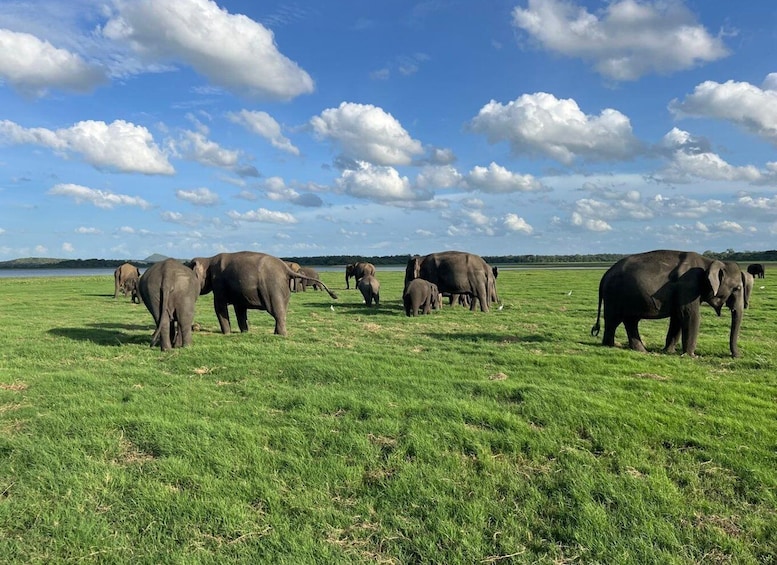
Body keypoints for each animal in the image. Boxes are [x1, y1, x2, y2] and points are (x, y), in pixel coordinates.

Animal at [190, 251, 338, 336]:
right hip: (283, 290)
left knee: (277, 312)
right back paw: (277, 334)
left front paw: (227, 334)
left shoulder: (219, 282)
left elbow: (219, 306)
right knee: (281, 311)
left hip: (272, 288)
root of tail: (285, 268)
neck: (208, 259)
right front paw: (245, 332)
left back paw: (282, 335)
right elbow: (240, 309)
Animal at [591, 250, 749, 357]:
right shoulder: (688, 286)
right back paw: (610, 346)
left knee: (630, 321)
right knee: (614, 320)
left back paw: (640, 350)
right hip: (614, 296)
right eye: (737, 288)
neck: (708, 262)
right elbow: (689, 315)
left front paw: (669, 351)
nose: (738, 355)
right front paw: (691, 356)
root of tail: (604, 275)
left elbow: (677, 317)